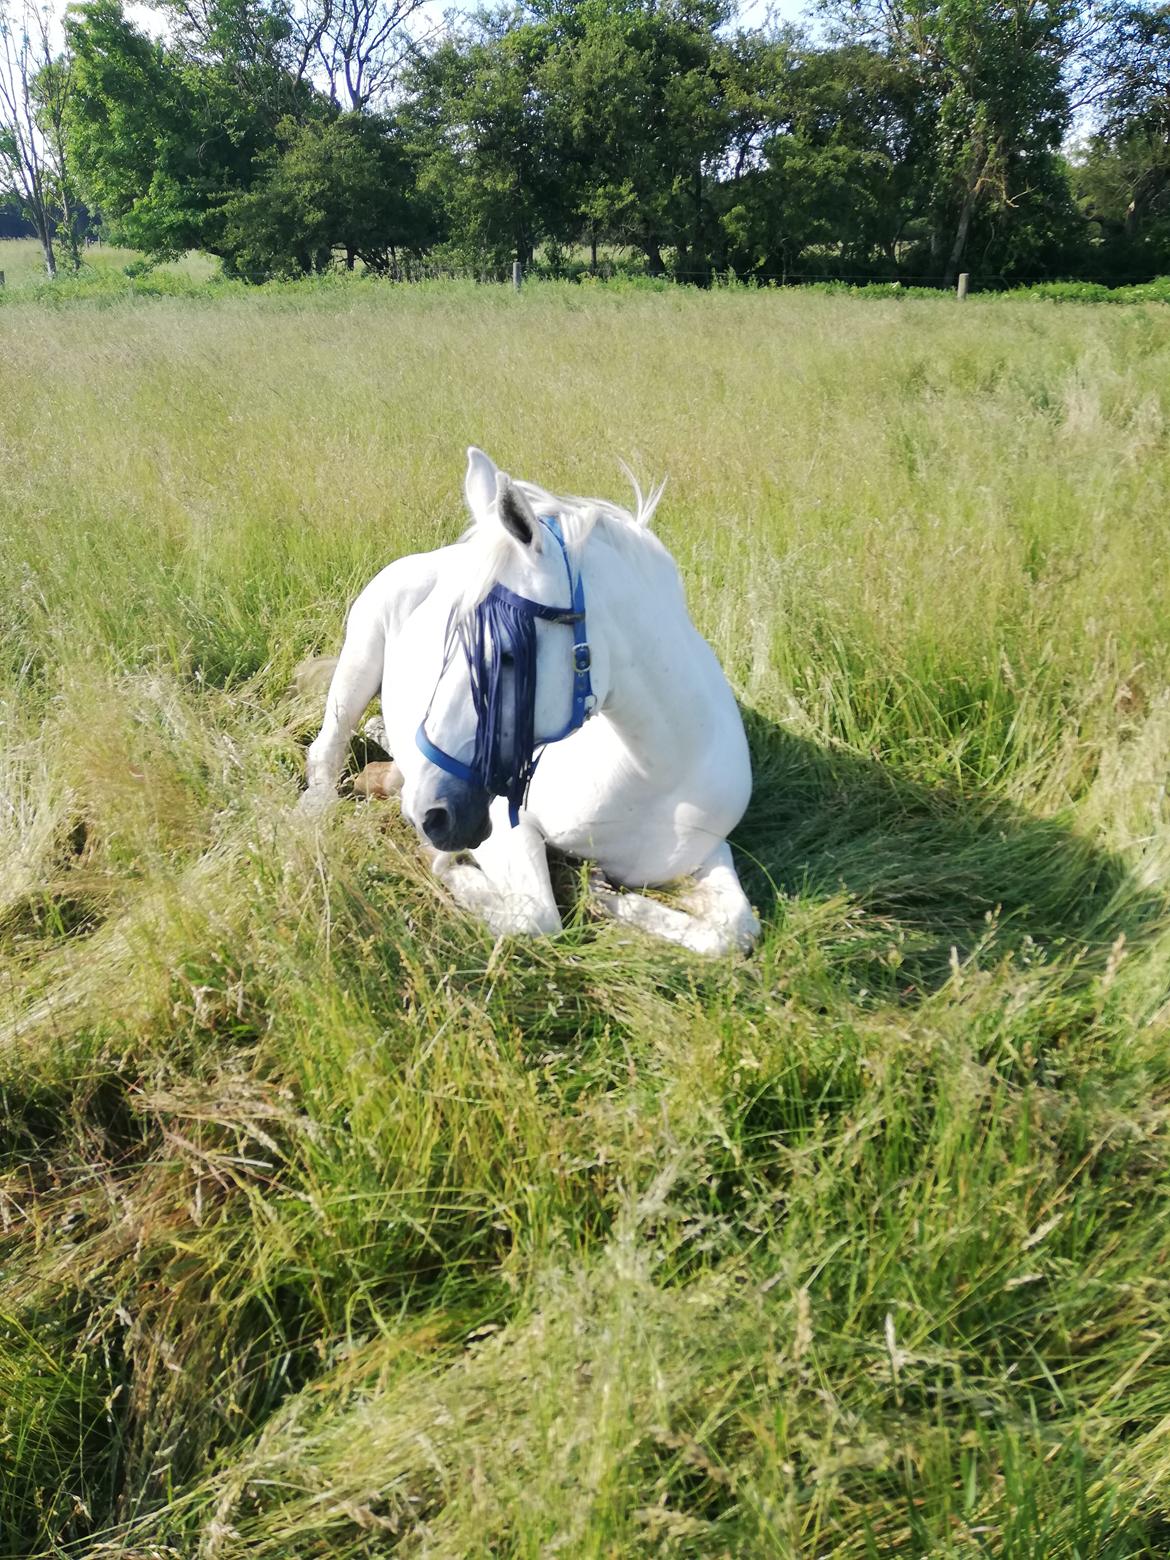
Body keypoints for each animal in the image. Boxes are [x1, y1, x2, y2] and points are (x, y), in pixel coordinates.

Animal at [302, 452, 761, 954]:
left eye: (506, 654)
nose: (432, 816)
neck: (653, 777)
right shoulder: (506, 824)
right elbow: (536, 917)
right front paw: (455, 873)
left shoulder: (706, 851)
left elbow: (735, 930)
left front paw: (607, 896)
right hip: (359, 659)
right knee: (327, 748)